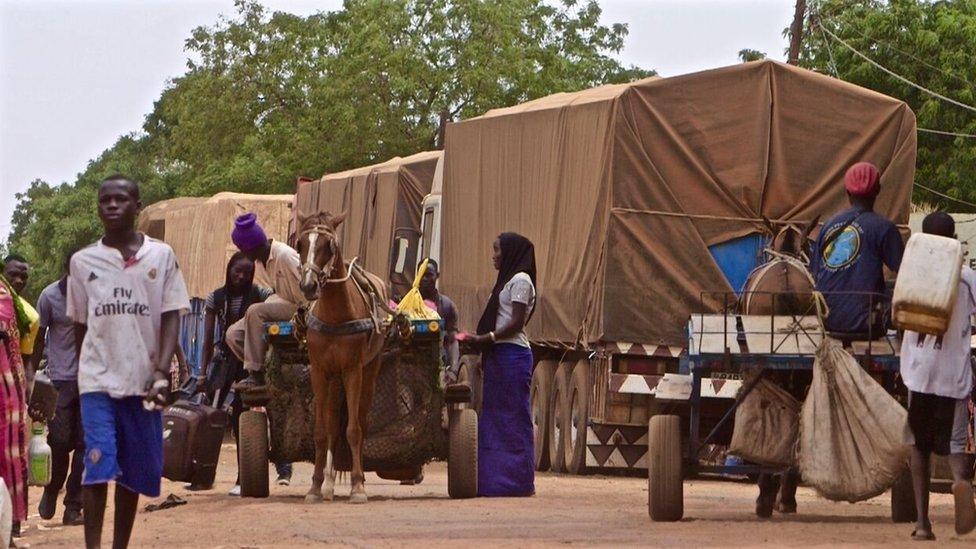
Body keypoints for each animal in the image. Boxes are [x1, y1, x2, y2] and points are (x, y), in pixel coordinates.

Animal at [298, 212, 388, 504]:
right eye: (301, 243)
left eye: (329, 245)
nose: (308, 285)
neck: (336, 315)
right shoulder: (319, 371)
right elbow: (321, 431)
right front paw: (315, 486)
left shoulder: (353, 370)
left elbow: (354, 429)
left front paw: (358, 486)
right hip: (334, 380)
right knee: (332, 423)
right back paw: (327, 484)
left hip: (369, 372)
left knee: (360, 420)